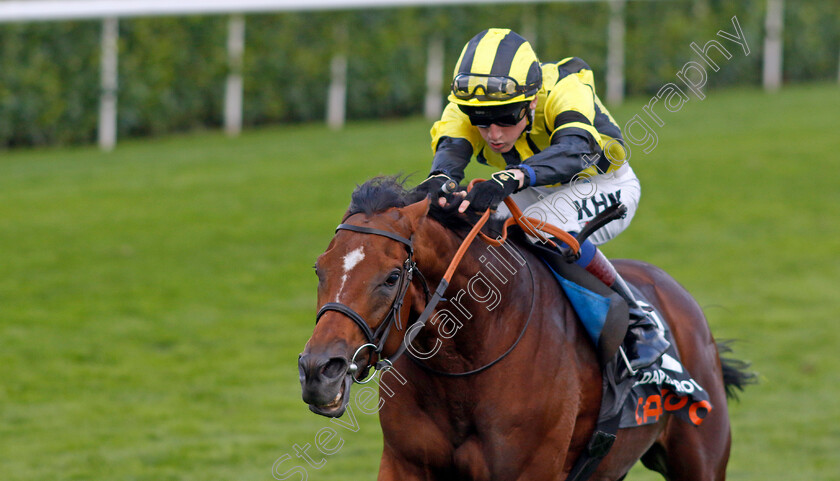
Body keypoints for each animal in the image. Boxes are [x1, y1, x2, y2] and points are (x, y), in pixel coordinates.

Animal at [298, 176, 752, 480]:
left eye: (392, 277)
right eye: (319, 268)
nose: (319, 371)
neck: (464, 368)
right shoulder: (403, 464)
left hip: (701, 459)